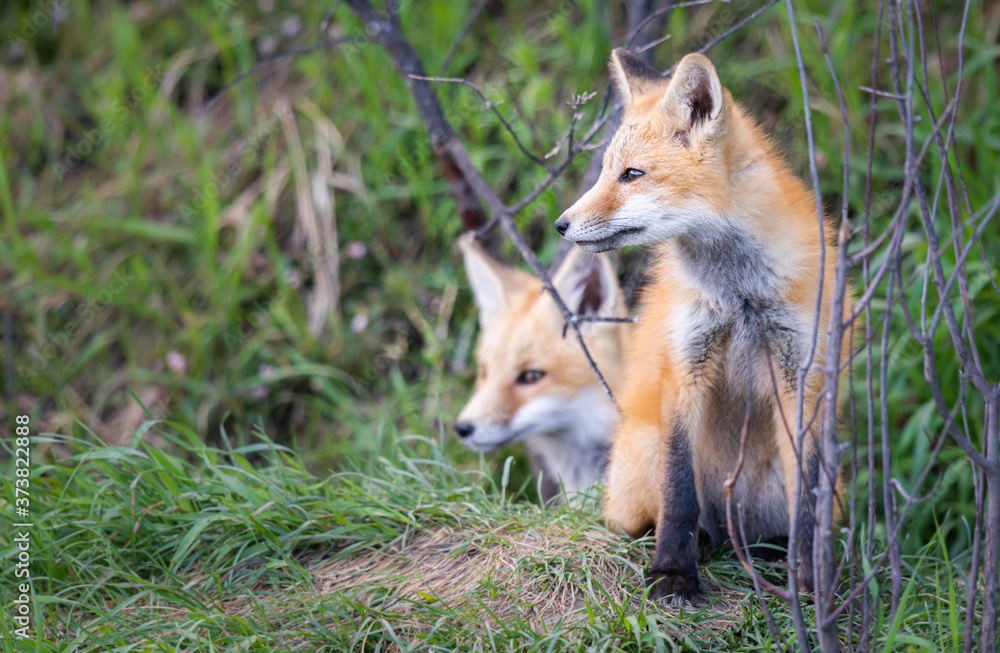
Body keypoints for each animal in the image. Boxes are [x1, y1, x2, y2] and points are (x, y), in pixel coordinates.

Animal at [552, 49, 848, 600]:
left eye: (631, 174)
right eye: (604, 172)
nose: (560, 225)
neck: (740, 295)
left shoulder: (803, 377)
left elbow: (808, 501)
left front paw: (811, 580)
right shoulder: (685, 364)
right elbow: (679, 492)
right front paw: (673, 571)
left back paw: (765, 548)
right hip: (641, 452)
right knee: (647, 518)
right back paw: (701, 542)